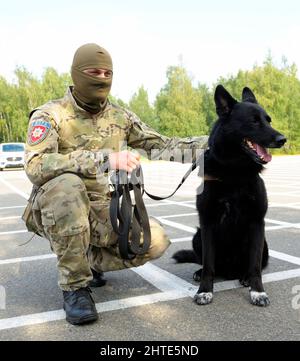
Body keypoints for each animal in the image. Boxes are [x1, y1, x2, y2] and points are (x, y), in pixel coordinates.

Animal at [173, 85, 286, 306]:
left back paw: (244, 277)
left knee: (253, 265)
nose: (282, 139)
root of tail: (229, 270)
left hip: (262, 243)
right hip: (197, 236)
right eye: (254, 121)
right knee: (212, 264)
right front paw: (205, 290)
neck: (235, 172)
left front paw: (257, 291)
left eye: (268, 120)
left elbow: (255, 266)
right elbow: (209, 264)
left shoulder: (257, 223)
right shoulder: (207, 223)